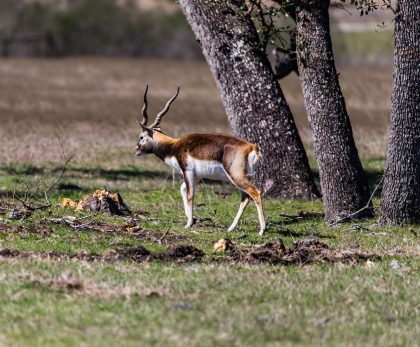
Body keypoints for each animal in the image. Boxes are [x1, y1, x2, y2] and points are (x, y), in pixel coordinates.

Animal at [133, 86, 268, 237]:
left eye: (141, 137)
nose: (135, 150)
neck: (174, 146)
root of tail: (251, 147)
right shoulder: (197, 175)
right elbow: (182, 189)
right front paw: (191, 218)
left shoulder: (188, 171)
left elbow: (190, 195)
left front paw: (188, 224)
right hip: (242, 176)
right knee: (245, 198)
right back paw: (231, 228)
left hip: (236, 176)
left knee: (255, 192)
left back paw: (262, 230)